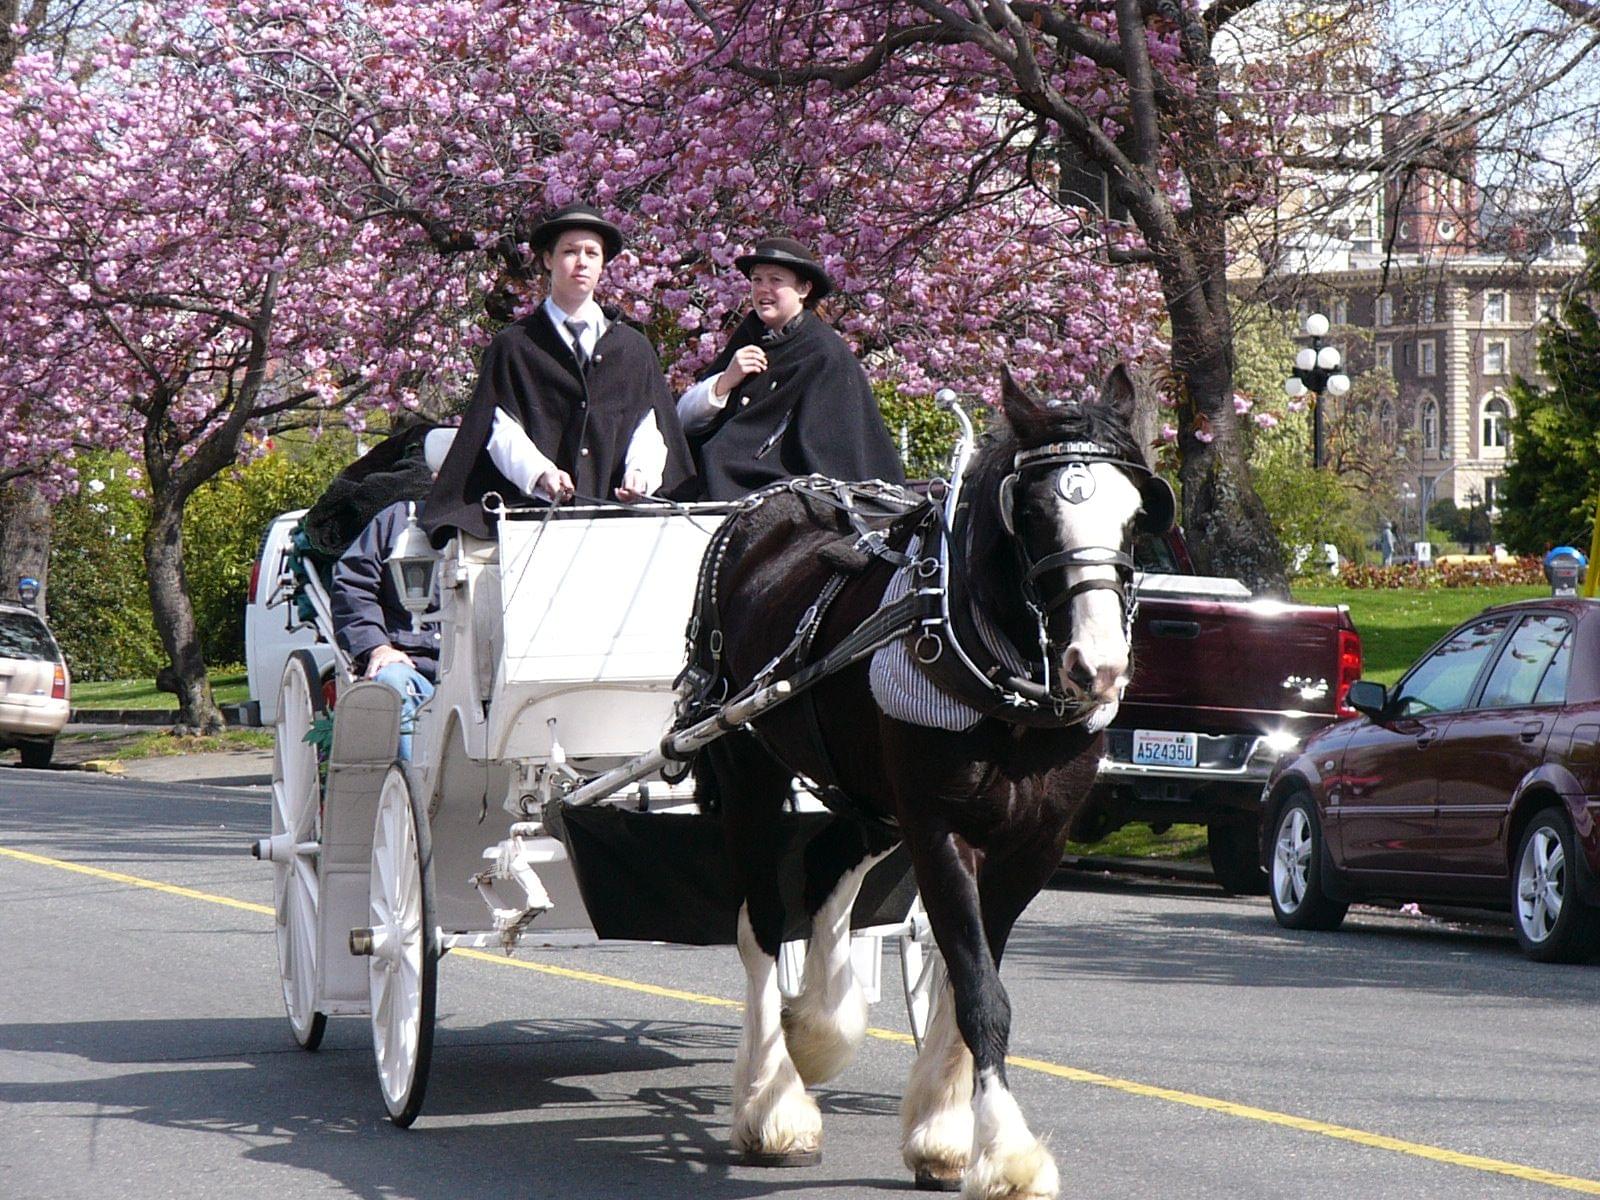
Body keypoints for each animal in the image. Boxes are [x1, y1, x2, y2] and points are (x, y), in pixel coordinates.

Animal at [700, 369, 1177, 1200]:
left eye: (1134, 514)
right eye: (1035, 513)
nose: (1098, 667)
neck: (1009, 693)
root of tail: (773, 502)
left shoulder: (1034, 846)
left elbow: (963, 980)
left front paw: (944, 1131)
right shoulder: (939, 829)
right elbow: (981, 989)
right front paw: (1008, 1153)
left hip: (867, 795)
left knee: (825, 875)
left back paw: (818, 1026)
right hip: (749, 766)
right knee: (759, 922)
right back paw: (774, 1103)